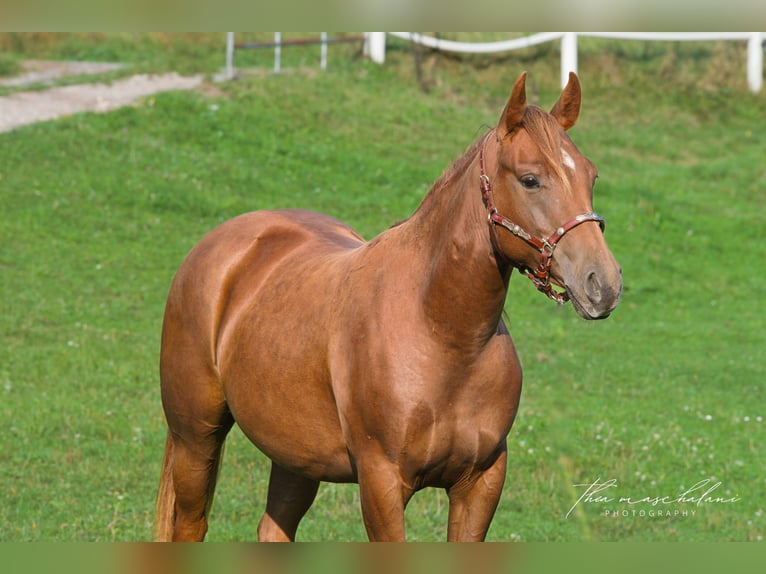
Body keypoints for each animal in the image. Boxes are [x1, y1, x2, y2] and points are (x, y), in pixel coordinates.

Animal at [154, 71, 622, 542]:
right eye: (530, 179)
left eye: (592, 176)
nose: (603, 284)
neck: (443, 335)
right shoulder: (382, 482)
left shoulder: (482, 482)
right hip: (196, 438)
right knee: (190, 524)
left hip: (295, 455)